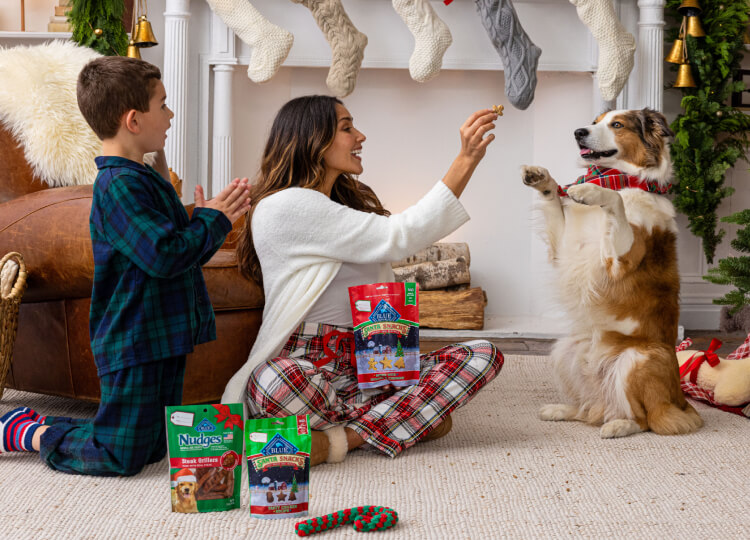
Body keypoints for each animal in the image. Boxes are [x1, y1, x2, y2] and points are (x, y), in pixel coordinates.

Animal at [524, 108, 704, 438]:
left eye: (617, 125)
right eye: (595, 121)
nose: (578, 132)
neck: (622, 179)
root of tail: (680, 401)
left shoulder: (621, 262)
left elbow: (615, 200)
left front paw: (590, 191)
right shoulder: (566, 250)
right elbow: (553, 199)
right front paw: (542, 179)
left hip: (639, 359)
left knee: (645, 419)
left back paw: (619, 425)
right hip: (565, 350)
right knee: (590, 410)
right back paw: (563, 410)